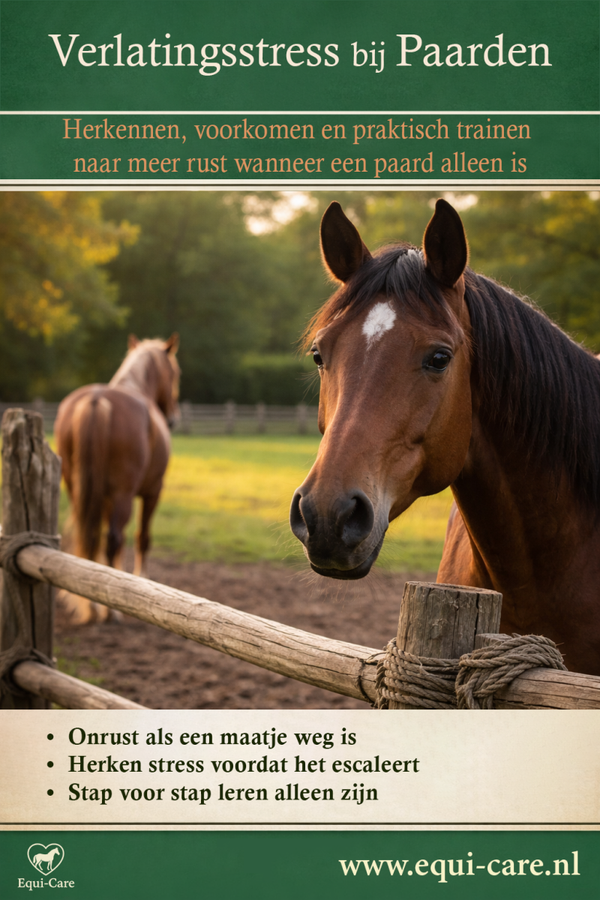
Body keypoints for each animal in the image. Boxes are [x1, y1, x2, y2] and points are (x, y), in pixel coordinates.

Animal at [54, 334, 180, 623]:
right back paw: (109, 611)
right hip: (124, 494)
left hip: (77, 490)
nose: (172, 419)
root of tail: (96, 401)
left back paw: (92, 604)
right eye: (175, 372)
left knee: (91, 537)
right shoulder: (152, 492)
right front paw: (140, 580)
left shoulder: (104, 497)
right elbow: (142, 537)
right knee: (113, 538)